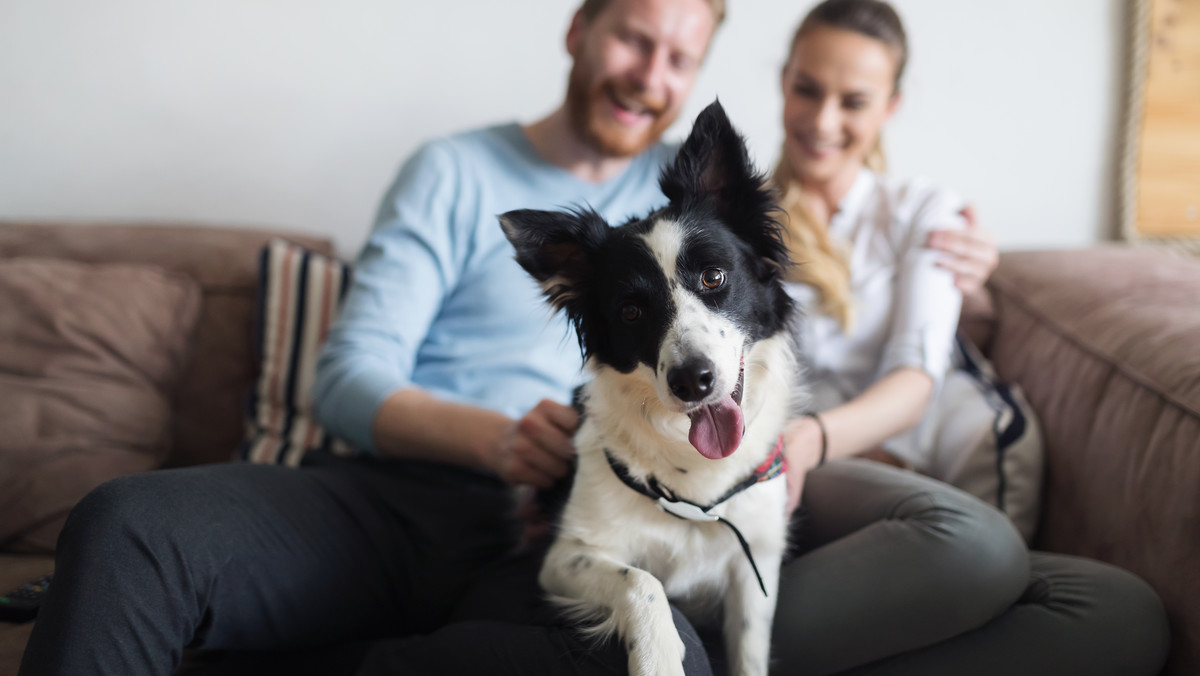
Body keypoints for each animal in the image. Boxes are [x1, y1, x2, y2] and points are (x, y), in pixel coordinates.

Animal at [501, 102, 801, 676]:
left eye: (713, 277)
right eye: (630, 312)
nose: (692, 381)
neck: (695, 480)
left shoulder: (755, 565)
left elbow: (750, 651)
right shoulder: (565, 556)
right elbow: (642, 581)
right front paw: (658, 655)